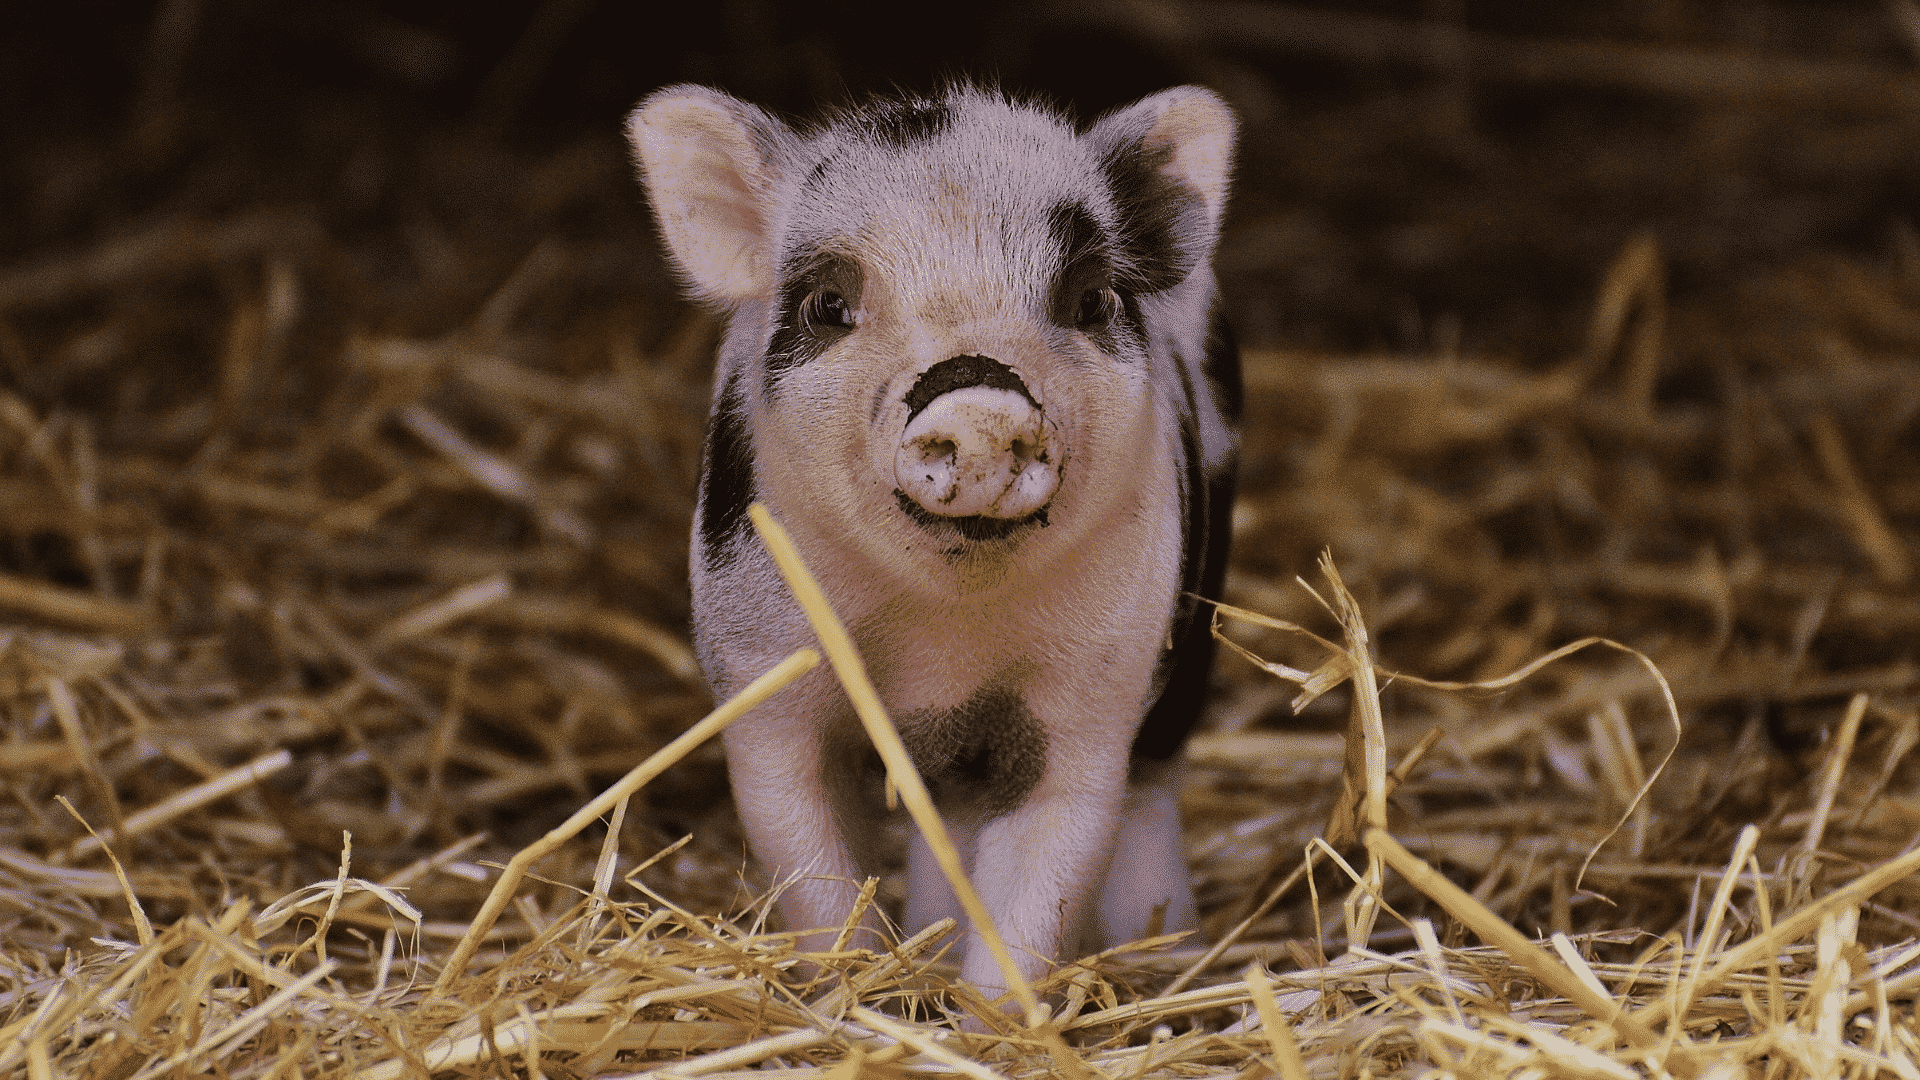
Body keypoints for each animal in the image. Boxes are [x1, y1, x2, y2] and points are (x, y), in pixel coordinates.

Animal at [625, 82, 1240, 1001]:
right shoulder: (763, 678)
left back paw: (1166, 953)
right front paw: (857, 998)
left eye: (1091, 300)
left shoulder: (1092, 697)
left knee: (1151, 785)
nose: (979, 398)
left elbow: (1044, 880)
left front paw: (990, 1016)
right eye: (828, 305)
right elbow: (811, 869)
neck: (942, 647)